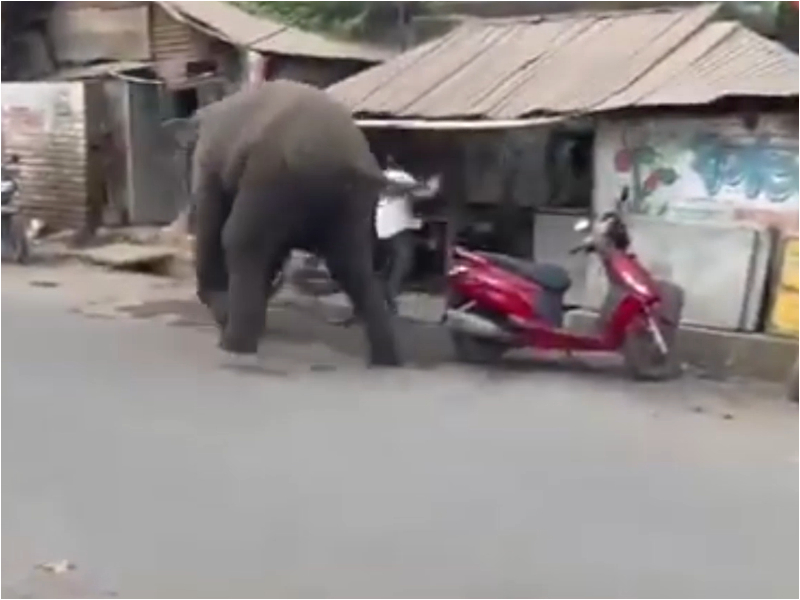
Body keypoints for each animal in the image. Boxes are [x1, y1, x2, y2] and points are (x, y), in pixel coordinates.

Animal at [188, 81, 400, 366]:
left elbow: (214, 225)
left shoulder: (211, 162)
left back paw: (233, 346)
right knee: (352, 266)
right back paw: (387, 360)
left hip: (275, 175)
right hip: (352, 202)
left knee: (239, 239)